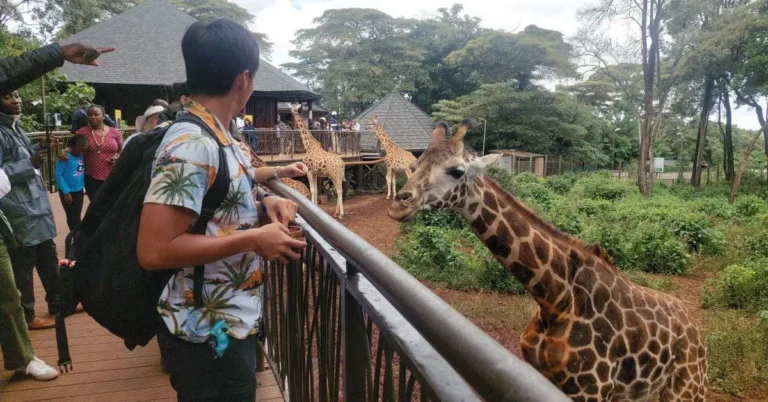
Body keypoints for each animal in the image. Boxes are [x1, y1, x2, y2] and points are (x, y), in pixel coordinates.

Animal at [388, 121, 707, 402]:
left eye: (456, 171)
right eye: (414, 167)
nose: (398, 205)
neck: (553, 298)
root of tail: (696, 330)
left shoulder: (591, 390)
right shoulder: (542, 375)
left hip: (688, 388)